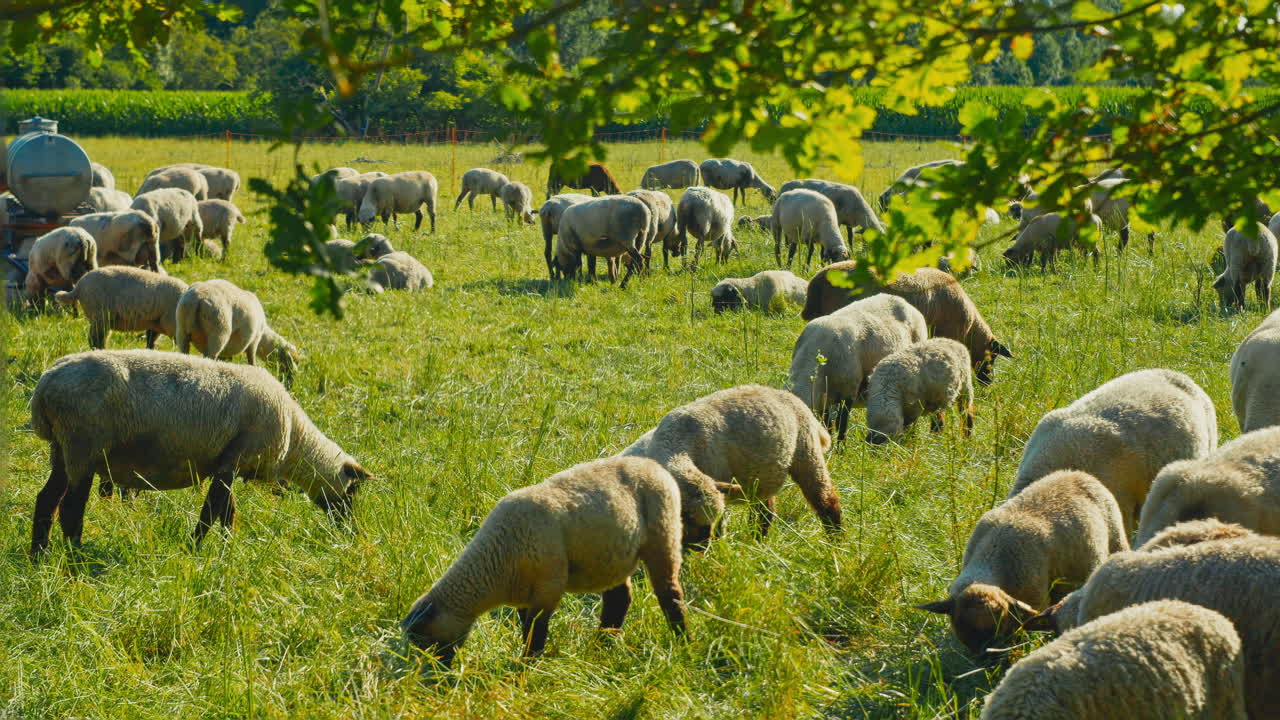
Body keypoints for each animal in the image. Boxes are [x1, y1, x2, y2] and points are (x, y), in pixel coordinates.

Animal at [28, 350, 373, 553]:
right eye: (352, 492)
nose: (349, 530)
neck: (295, 440)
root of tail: (45, 385)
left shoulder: (227, 462)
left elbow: (227, 511)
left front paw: (227, 548)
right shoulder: (233, 459)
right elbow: (212, 511)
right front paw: (195, 549)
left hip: (62, 450)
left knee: (46, 500)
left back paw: (39, 555)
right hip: (83, 446)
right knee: (70, 509)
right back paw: (75, 559)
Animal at [399, 456, 687, 665]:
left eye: (426, 641)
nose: (433, 675)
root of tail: (652, 464)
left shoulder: (548, 587)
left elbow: (534, 632)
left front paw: (527, 668)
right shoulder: (524, 594)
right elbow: (525, 627)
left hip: (663, 534)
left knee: (670, 593)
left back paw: (682, 640)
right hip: (611, 557)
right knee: (619, 599)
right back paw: (602, 644)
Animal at [621, 384, 840, 541]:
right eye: (685, 518)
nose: (701, 549)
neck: (675, 442)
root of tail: (789, 396)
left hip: (806, 451)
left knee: (826, 499)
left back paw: (836, 539)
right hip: (761, 475)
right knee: (765, 510)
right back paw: (758, 540)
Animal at [789, 294, 927, 442]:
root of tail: (903, 300)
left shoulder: (848, 392)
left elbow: (841, 424)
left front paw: (841, 447)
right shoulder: (824, 398)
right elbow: (827, 425)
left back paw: (910, 438)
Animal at [917, 470, 1128, 655]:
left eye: (999, 625)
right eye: (962, 627)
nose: (985, 659)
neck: (991, 556)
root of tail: (1075, 472)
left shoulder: (1036, 598)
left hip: (1115, 536)